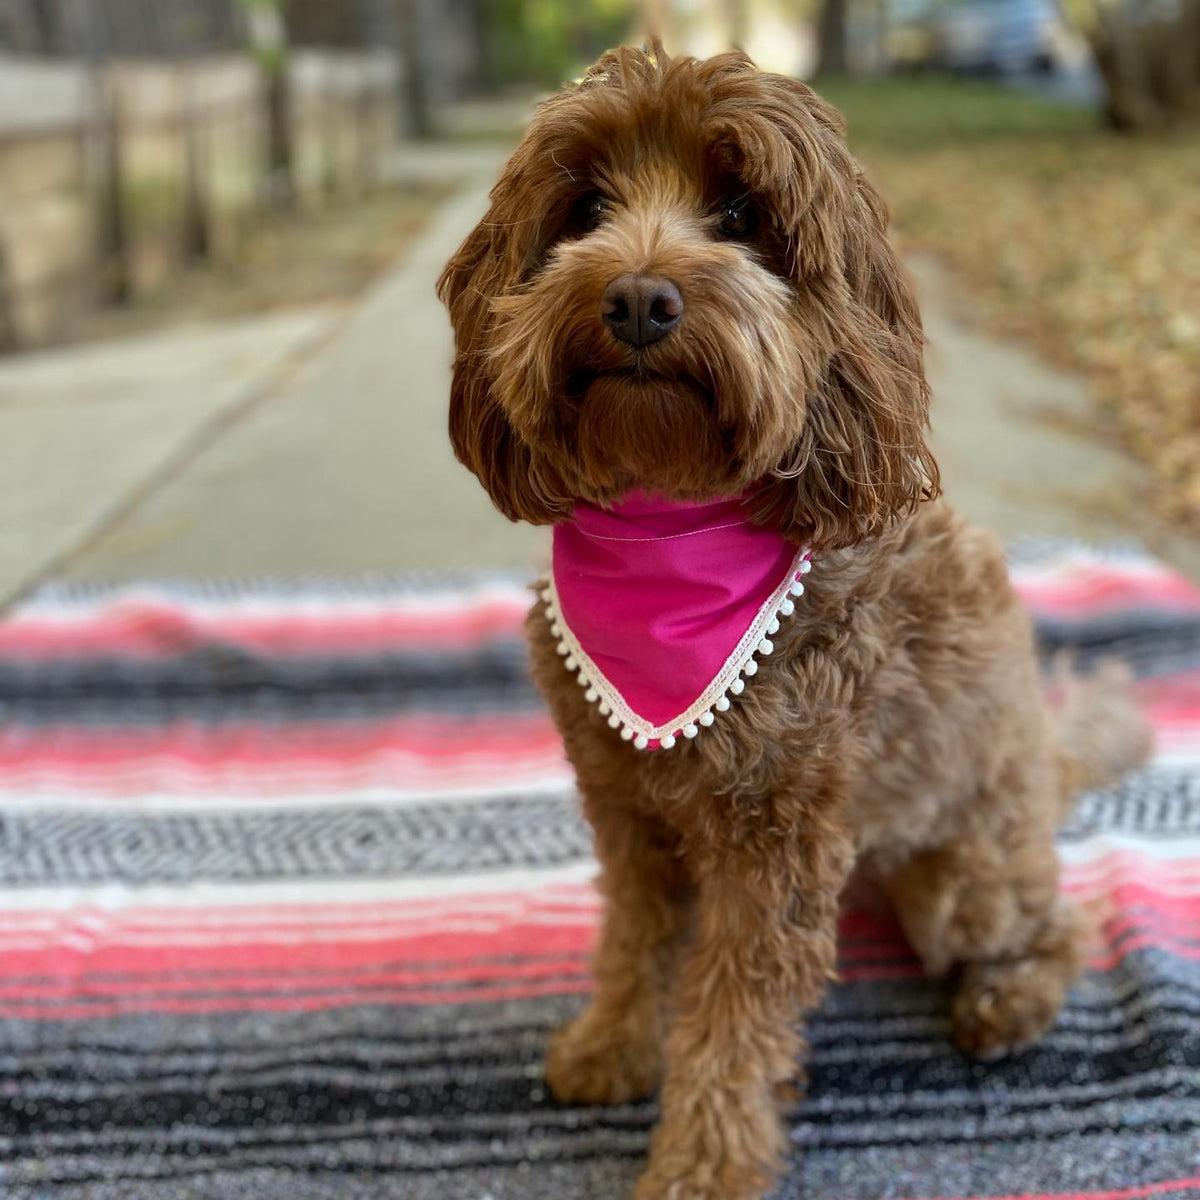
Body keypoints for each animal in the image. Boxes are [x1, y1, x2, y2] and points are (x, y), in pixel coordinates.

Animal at [439, 44, 1152, 1200]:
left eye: (741, 213)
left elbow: (734, 1017)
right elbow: (633, 934)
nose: (636, 298)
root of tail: (1046, 759)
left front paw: (703, 1161)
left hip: (967, 875)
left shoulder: (775, 840)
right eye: (584, 208)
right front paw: (612, 1044)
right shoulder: (625, 805)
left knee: (1057, 922)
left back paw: (1006, 999)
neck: (669, 522)